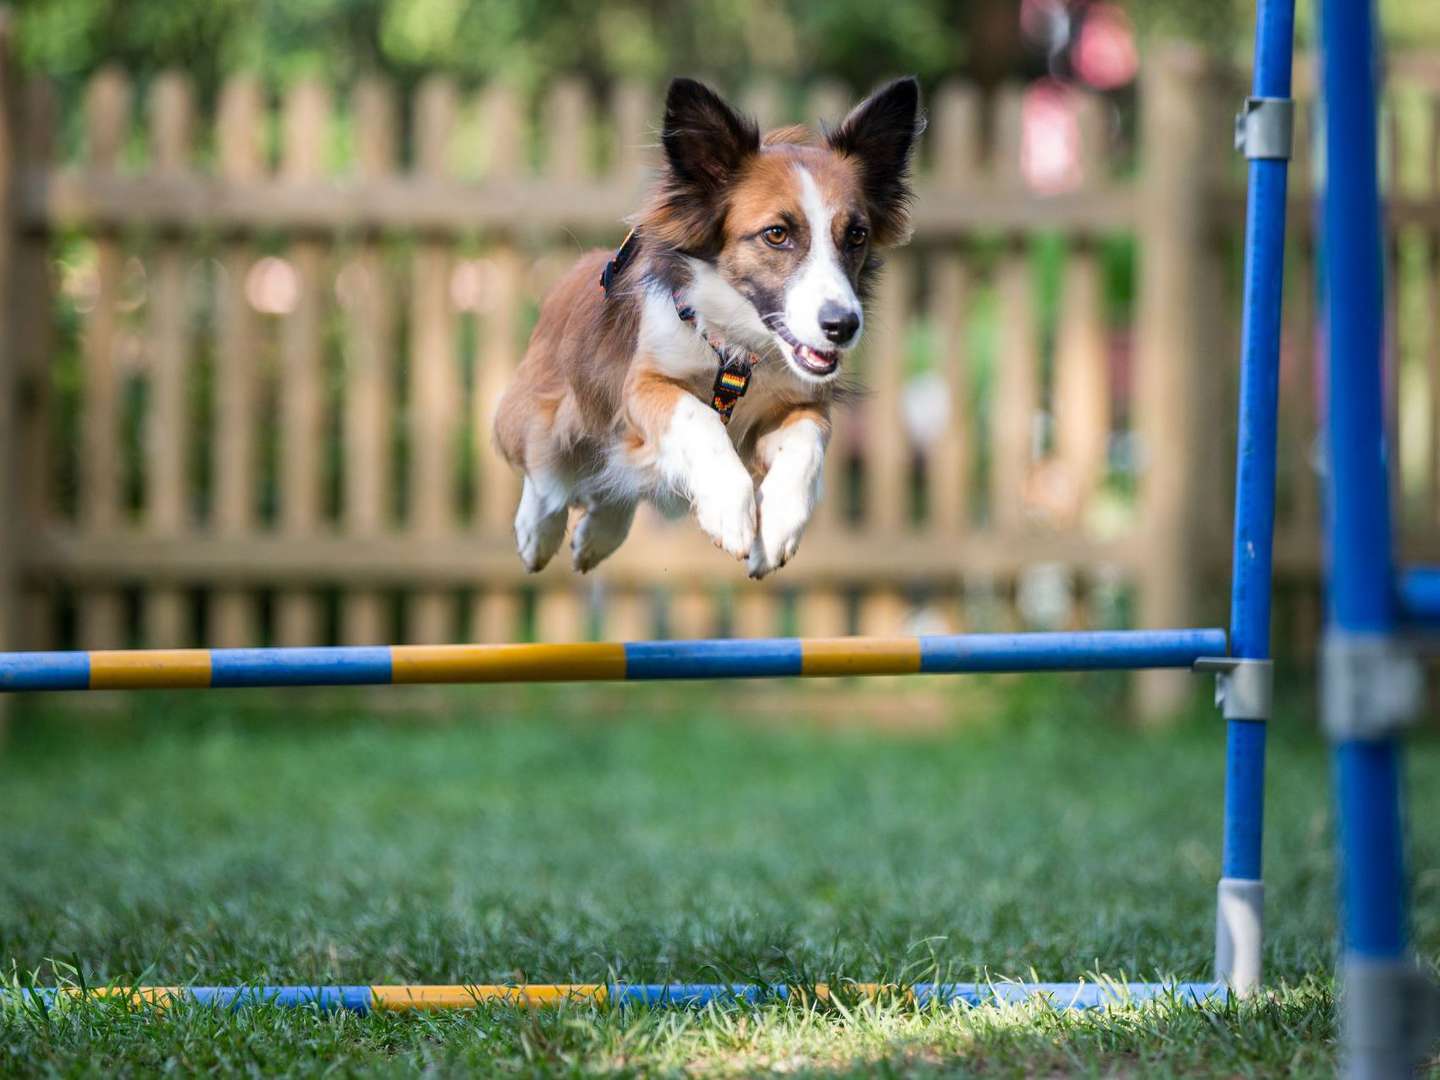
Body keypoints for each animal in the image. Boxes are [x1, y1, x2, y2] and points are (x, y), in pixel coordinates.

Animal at [495, 74, 921, 584]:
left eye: (856, 235)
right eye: (776, 234)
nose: (842, 326)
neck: (738, 350)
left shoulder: (803, 403)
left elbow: (806, 447)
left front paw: (777, 525)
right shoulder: (645, 384)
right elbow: (697, 418)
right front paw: (730, 508)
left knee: (617, 484)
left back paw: (598, 535)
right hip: (545, 414)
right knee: (548, 474)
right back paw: (537, 531)